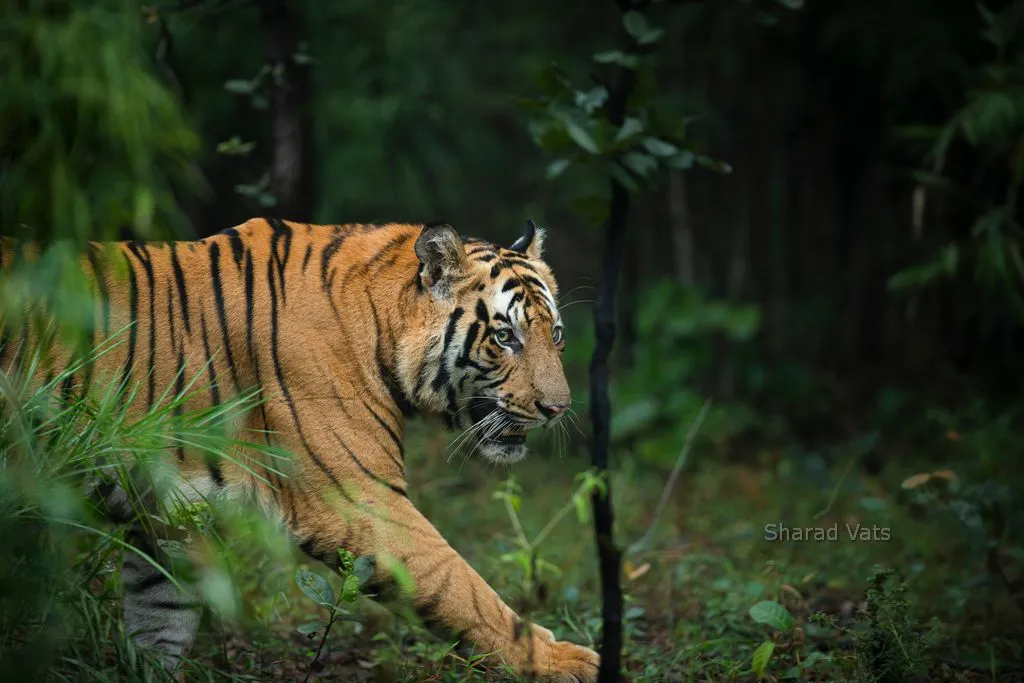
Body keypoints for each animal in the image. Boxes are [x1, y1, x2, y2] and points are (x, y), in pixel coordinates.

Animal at [0, 219, 602, 683]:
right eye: (504, 338)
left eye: (557, 335)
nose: (558, 408)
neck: (379, 323)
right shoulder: (360, 500)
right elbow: (462, 586)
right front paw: (562, 660)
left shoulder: (169, 516)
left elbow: (159, 619)